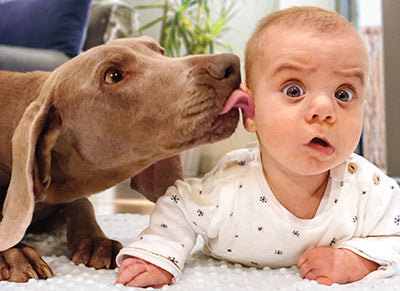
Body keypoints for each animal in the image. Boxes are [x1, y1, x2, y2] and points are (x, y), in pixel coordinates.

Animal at [0, 36, 241, 282]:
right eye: (113, 75)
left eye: (160, 52)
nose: (231, 64)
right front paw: (15, 254)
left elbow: (83, 204)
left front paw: (97, 242)